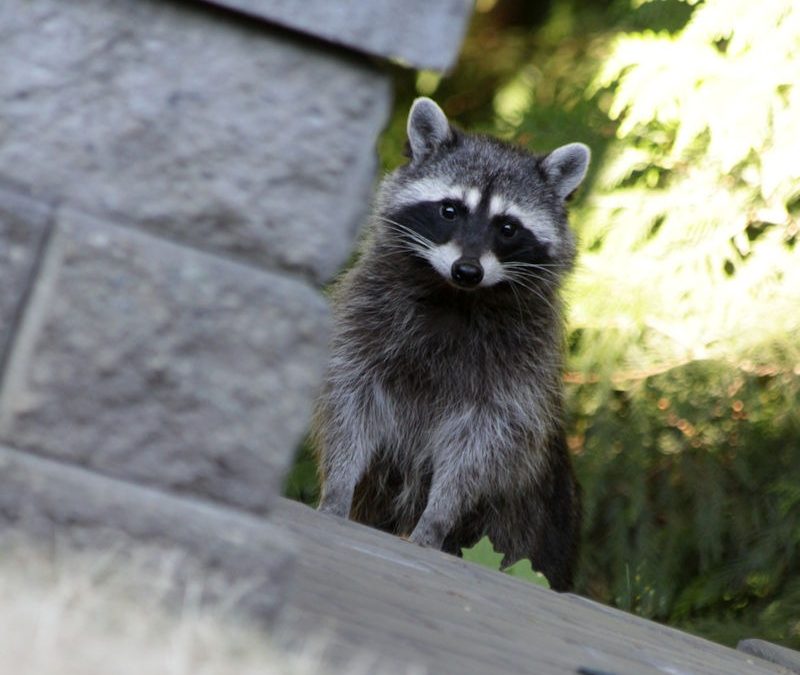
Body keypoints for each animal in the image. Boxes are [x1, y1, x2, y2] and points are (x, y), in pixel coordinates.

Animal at [313, 97, 589, 591]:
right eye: (450, 210)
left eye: (507, 227)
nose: (467, 270)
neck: (456, 296)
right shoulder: (365, 322)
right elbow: (351, 402)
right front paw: (339, 484)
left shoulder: (518, 369)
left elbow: (482, 443)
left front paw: (437, 516)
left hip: (538, 521)